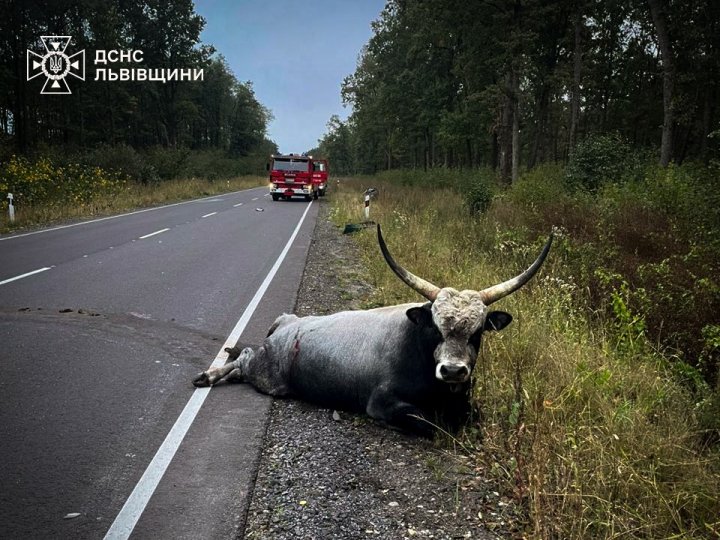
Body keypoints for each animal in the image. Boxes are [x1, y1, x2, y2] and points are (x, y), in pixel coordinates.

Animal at [191, 224, 552, 434]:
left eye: (477, 333)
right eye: (435, 329)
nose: (452, 371)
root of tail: (288, 322)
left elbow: (470, 417)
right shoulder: (383, 403)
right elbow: (432, 425)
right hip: (267, 374)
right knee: (243, 360)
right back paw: (209, 374)